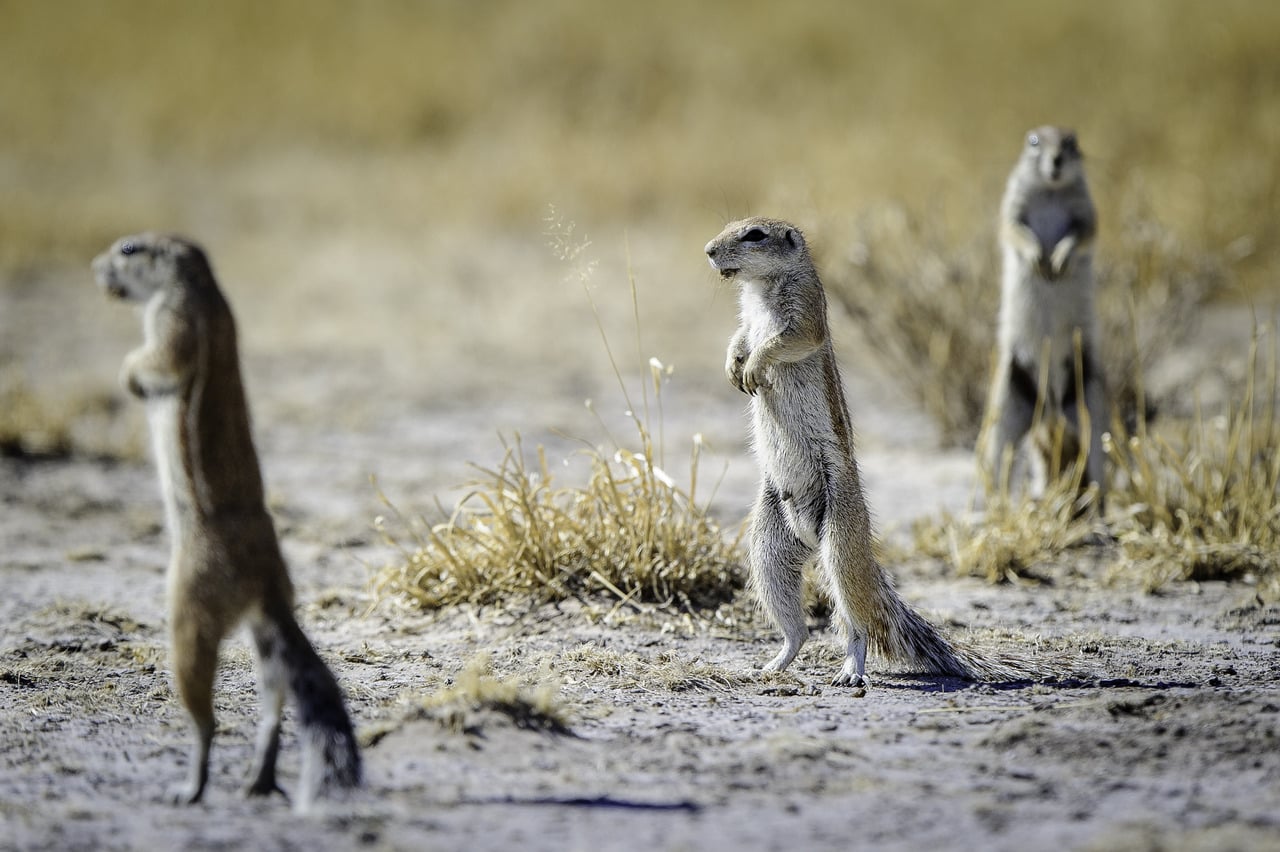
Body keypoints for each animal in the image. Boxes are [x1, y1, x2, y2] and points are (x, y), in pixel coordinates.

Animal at [92, 232, 360, 808]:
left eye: (128, 249)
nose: (95, 269)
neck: (201, 285)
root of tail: (265, 581)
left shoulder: (173, 319)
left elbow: (159, 360)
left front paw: (128, 376)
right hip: (262, 631)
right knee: (275, 700)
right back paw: (258, 778)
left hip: (189, 608)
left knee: (206, 716)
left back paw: (192, 786)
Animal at [706, 217, 1024, 685]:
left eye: (755, 235)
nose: (708, 251)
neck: (762, 288)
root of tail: (809, 538)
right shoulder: (749, 318)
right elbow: (742, 336)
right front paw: (733, 364)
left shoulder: (805, 313)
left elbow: (785, 341)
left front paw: (754, 365)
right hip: (767, 543)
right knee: (799, 628)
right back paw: (773, 664)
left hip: (840, 535)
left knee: (857, 625)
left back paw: (851, 670)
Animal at [983, 124, 1105, 504]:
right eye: (1033, 141)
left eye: (1072, 142)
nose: (1056, 161)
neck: (1051, 192)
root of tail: (1049, 412)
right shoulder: (1012, 204)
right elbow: (1013, 228)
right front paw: (1039, 257)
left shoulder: (1086, 209)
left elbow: (1085, 231)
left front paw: (1060, 258)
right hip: (1008, 401)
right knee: (998, 460)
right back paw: (992, 506)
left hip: (1090, 402)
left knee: (1097, 462)